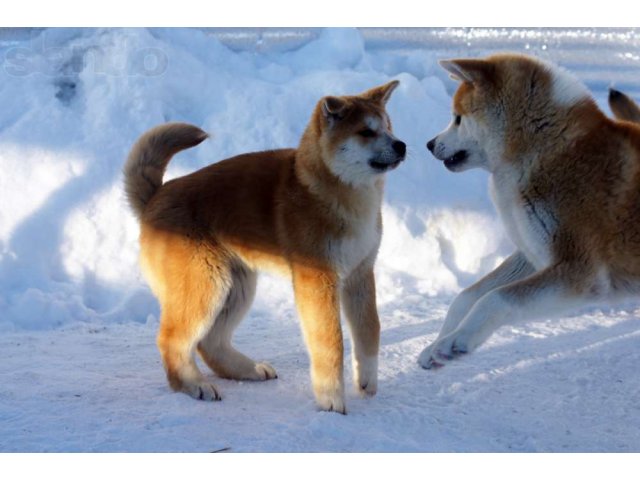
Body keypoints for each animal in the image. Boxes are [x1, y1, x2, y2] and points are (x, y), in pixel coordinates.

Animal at [125, 79, 404, 412]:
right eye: (365, 131)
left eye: (388, 126)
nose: (401, 145)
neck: (329, 190)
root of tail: (155, 198)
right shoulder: (318, 280)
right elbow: (331, 342)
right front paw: (331, 398)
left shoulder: (360, 273)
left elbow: (369, 329)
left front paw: (367, 381)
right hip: (206, 285)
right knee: (171, 340)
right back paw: (193, 385)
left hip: (236, 286)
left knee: (210, 342)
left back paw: (248, 370)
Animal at [418, 53, 640, 368]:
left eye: (458, 118)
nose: (429, 144)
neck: (546, 150)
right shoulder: (534, 254)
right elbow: (466, 297)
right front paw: (438, 344)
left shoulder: (580, 271)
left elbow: (494, 299)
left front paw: (456, 341)